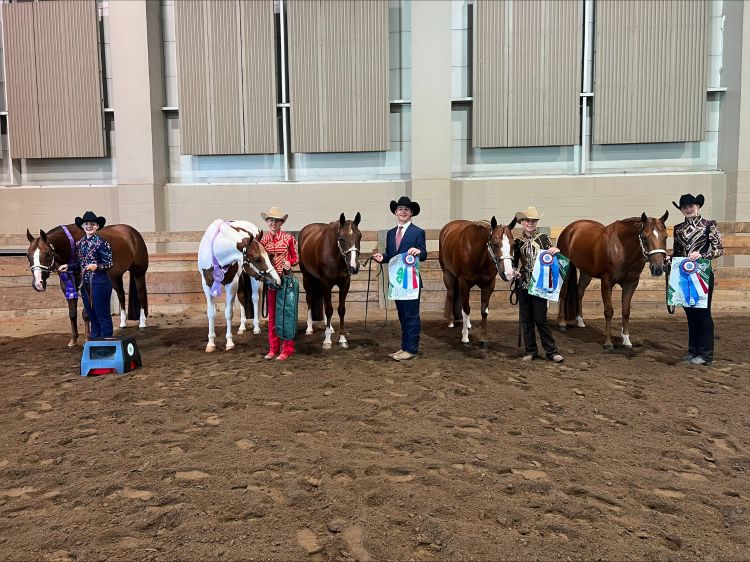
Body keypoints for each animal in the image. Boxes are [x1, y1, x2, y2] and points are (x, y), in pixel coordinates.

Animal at [198, 219, 280, 350]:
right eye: (257, 258)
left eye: (269, 255)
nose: (277, 281)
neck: (216, 252)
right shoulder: (207, 285)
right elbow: (211, 313)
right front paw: (210, 343)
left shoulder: (231, 284)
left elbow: (228, 313)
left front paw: (229, 342)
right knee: (242, 298)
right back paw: (242, 327)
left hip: (253, 279)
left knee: (254, 298)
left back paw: (256, 327)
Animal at [298, 212, 362, 348]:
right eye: (341, 238)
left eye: (360, 236)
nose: (353, 267)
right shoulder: (326, 283)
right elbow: (328, 309)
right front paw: (327, 341)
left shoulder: (345, 284)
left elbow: (341, 310)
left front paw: (342, 339)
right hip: (307, 277)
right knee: (309, 300)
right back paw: (309, 328)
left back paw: (330, 327)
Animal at [556, 212, 672, 348]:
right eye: (644, 237)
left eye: (665, 237)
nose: (658, 268)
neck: (622, 248)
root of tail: (570, 229)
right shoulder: (607, 282)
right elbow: (609, 311)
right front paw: (608, 343)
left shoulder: (631, 284)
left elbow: (626, 311)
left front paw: (626, 341)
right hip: (566, 268)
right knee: (563, 292)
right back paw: (562, 323)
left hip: (586, 272)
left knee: (579, 292)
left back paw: (580, 321)